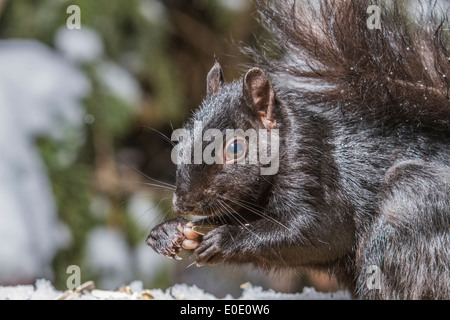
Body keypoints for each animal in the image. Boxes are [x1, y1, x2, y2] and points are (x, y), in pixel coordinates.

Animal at [146, 0, 448, 300]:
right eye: (182, 138)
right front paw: (168, 231)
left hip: (411, 205)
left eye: (235, 147)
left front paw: (225, 238)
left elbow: (322, 232)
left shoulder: (316, 174)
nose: (184, 203)